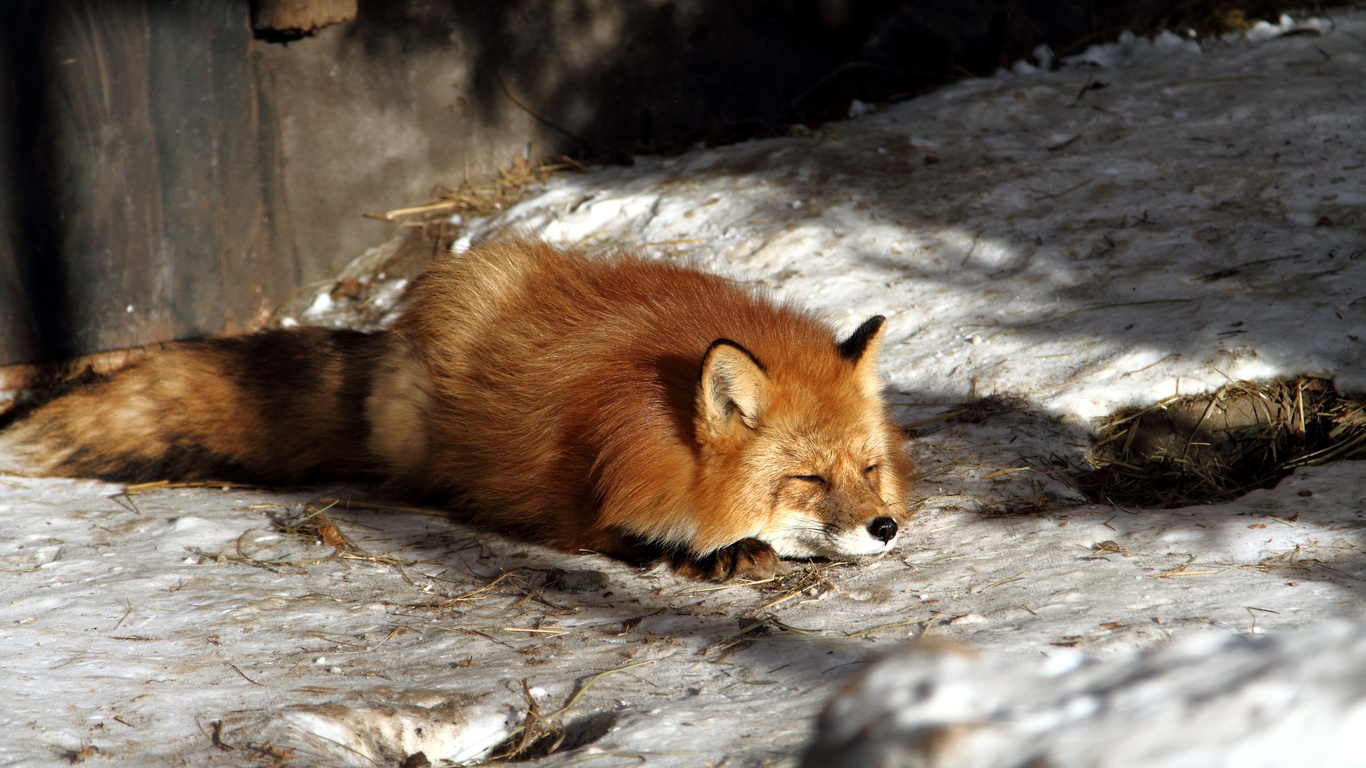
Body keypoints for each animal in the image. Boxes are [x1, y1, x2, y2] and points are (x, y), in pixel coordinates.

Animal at [5, 236, 917, 576]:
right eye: (806, 479)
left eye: (870, 469)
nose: (885, 527)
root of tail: (393, 334)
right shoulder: (582, 494)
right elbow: (626, 534)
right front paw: (712, 552)